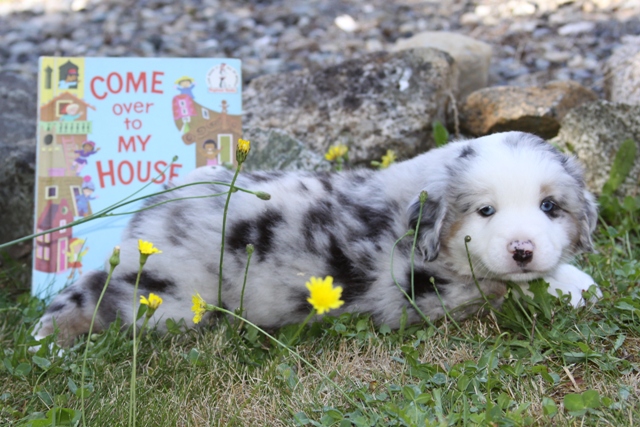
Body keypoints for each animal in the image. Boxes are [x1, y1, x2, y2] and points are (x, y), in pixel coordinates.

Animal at [34, 131, 599, 344]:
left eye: (550, 207)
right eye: (485, 211)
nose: (522, 249)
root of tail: (144, 221)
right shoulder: (420, 292)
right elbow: (505, 290)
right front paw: (570, 285)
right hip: (169, 301)